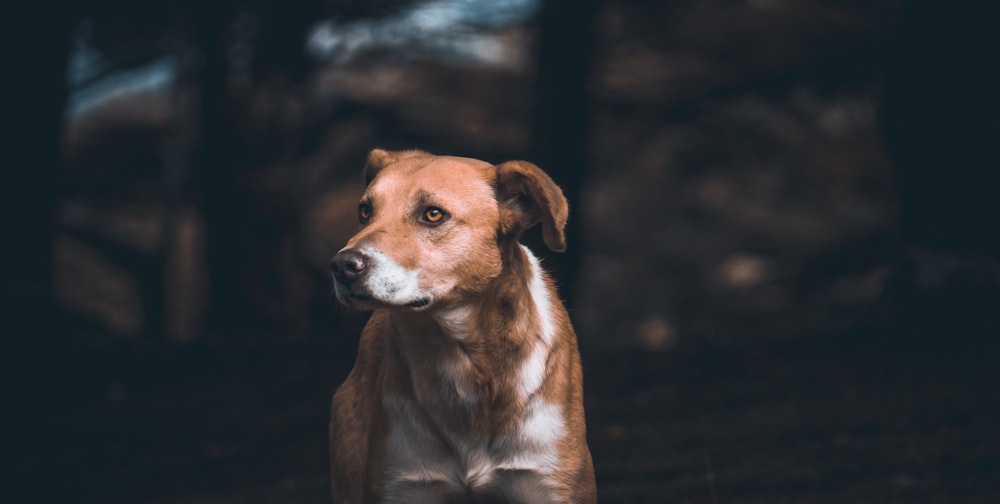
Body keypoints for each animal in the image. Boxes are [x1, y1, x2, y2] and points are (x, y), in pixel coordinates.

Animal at [330, 148, 592, 502]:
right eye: (365, 210)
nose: (343, 266)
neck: (463, 362)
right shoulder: (405, 483)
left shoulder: (548, 480)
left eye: (433, 214)